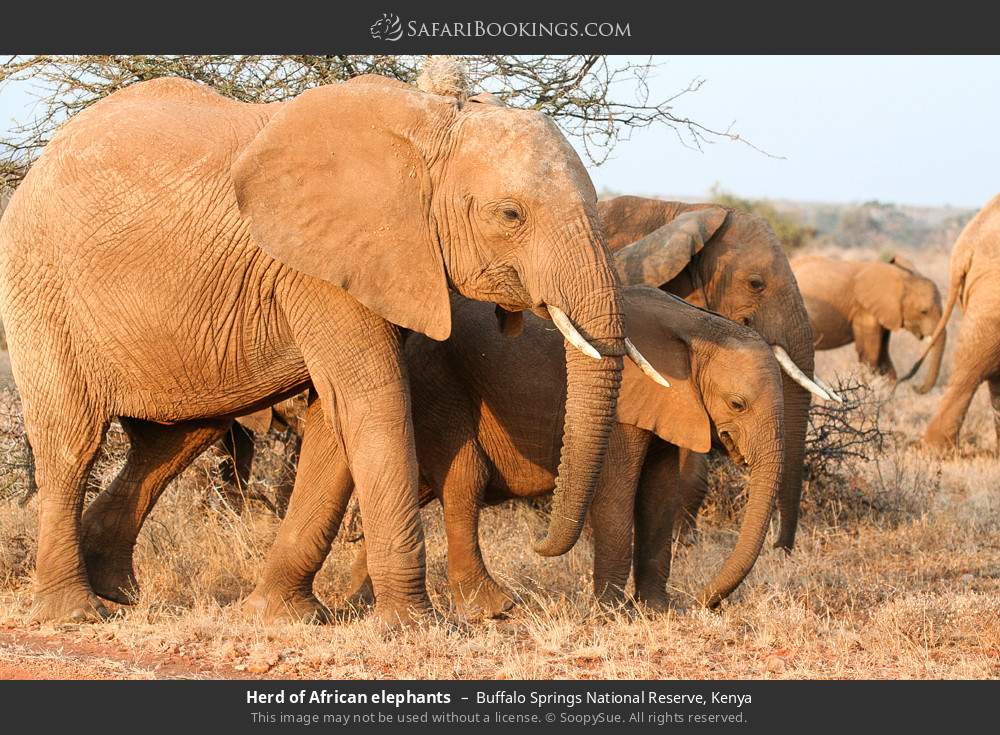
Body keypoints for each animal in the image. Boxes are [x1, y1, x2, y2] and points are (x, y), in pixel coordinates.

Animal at [0, 62, 657, 624]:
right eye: (511, 214)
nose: (545, 547)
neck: (426, 125)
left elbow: (337, 419)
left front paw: (278, 615)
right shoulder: (320, 267)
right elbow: (373, 398)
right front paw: (412, 625)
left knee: (175, 440)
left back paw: (116, 589)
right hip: (41, 286)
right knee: (72, 443)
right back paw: (75, 611)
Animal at [246, 285, 784, 621]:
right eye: (737, 404)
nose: (705, 600)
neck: (697, 325)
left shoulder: (673, 408)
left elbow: (659, 498)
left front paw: (659, 612)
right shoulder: (629, 406)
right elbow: (616, 498)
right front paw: (615, 615)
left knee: (421, 488)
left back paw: (357, 605)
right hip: (439, 387)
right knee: (464, 479)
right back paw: (492, 608)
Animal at [791, 254, 944, 391]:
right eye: (924, 311)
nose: (915, 387)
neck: (903, 276)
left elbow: (884, 361)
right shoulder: (864, 311)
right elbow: (870, 358)